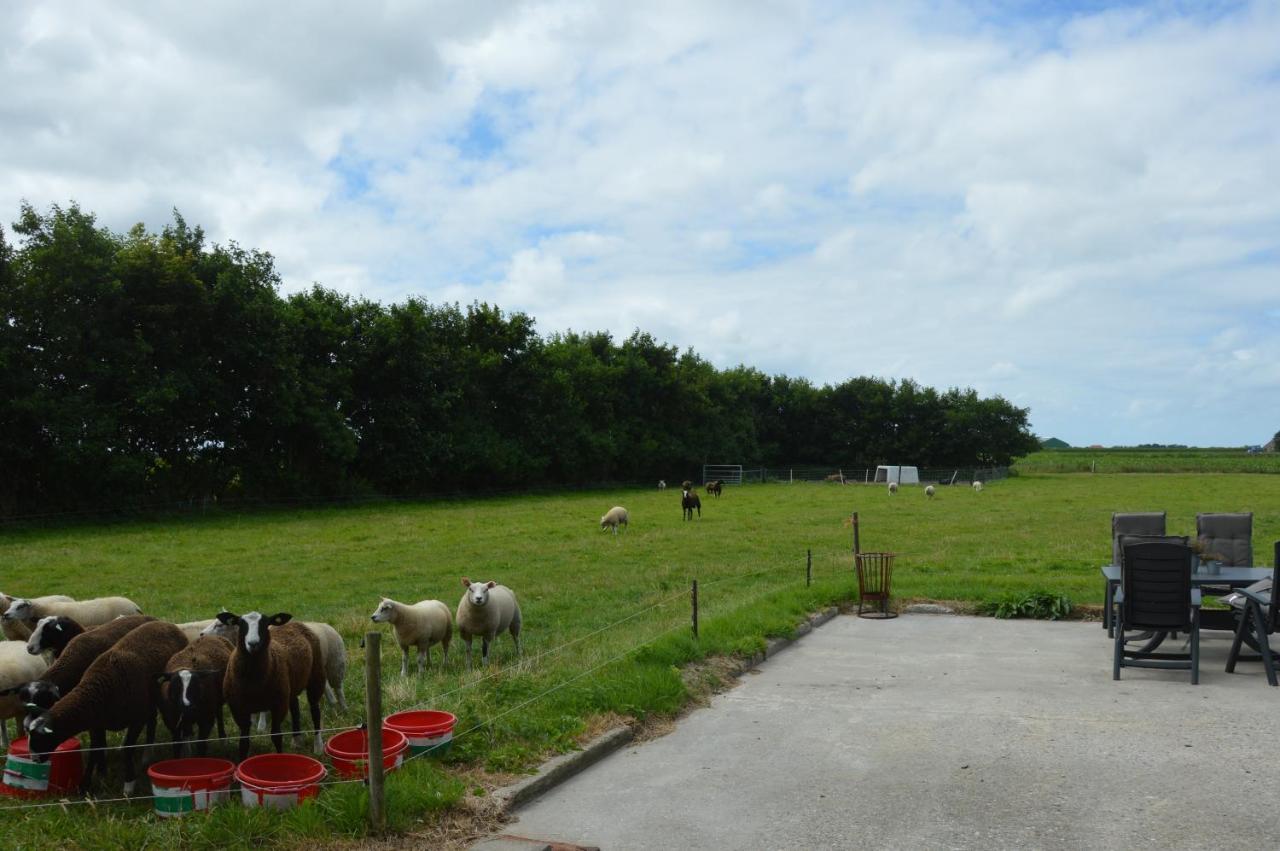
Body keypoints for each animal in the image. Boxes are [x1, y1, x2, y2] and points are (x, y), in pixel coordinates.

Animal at [26, 616, 188, 788]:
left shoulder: (135, 718)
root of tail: (159, 620)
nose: (34, 759)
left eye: (41, 738)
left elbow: (126, 749)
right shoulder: (95, 722)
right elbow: (96, 748)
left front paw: (128, 783)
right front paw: (91, 779)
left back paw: (148, 755)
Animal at [156, 629, 234, 757]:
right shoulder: (172, 722)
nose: (187, 706)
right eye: (175, 686)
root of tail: (210, 636)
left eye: (196, 686)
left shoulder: (206, 719)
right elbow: (176, 746)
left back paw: (223, 739)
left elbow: (201, 746)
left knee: (219, 714)